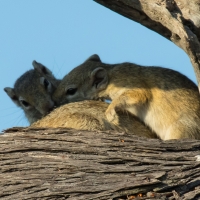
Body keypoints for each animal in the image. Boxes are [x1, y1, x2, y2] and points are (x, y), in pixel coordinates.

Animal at [52, 54, 200, 140]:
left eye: (71, 91)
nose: (54, 100)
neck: (111, 75)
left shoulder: (131, 84)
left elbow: (136, 95)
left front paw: (110, 112)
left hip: (181, 129)